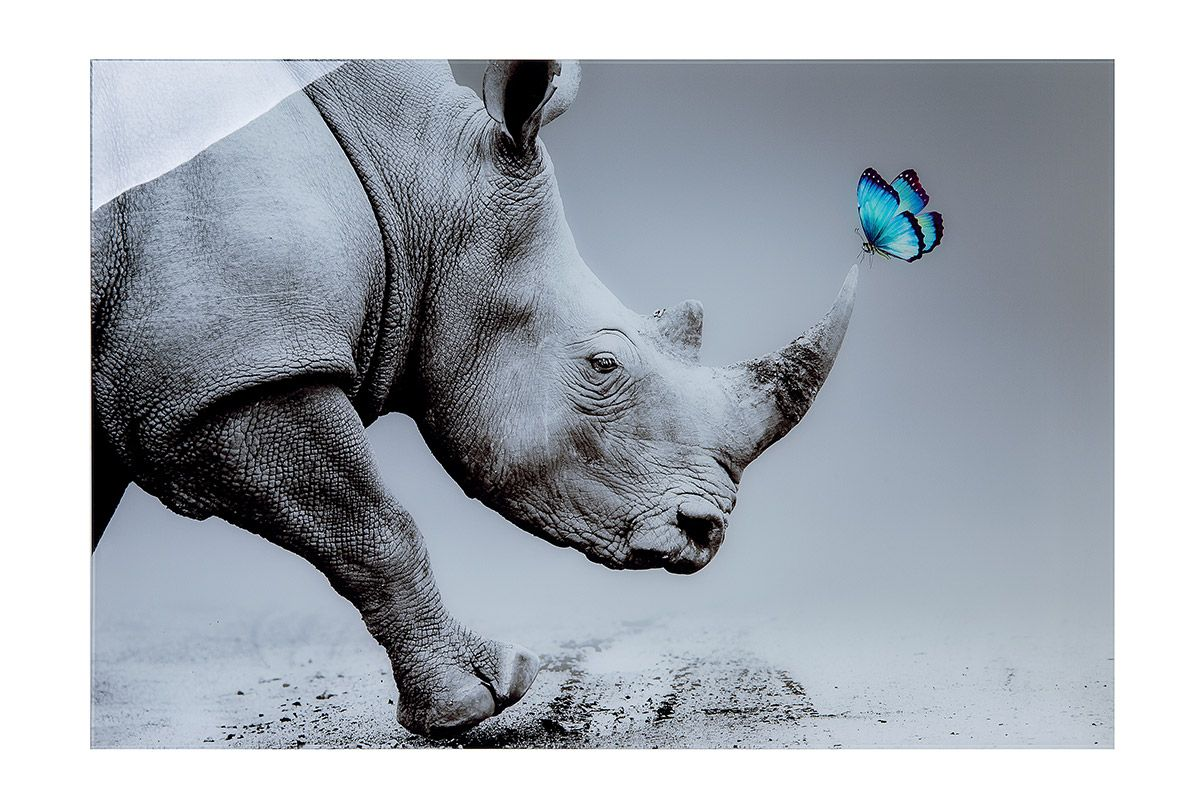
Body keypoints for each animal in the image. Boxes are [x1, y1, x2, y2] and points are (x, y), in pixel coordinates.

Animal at [91, 59, 857, 737]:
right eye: (603, 364)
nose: (707, 532)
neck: (417, 179)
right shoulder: (234, 372)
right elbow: (372, 526)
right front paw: (482, 699)